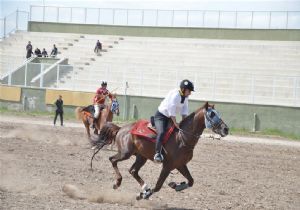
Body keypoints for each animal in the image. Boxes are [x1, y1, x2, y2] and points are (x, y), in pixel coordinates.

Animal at [95, 102, 229, 200]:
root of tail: (121, 128)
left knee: (133, 171)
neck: (182, 138)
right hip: (125, 153)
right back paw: (118, 183)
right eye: (211, 115)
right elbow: (158, 186)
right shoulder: (167, 166)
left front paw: (175, 185)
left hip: (141, 157)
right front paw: (144, 195)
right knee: (112, 159)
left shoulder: (180, 165)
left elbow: (191, 181)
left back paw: (144, 187)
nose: (226, 129)